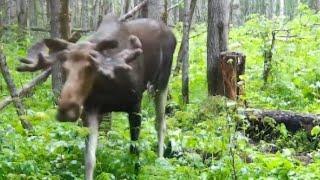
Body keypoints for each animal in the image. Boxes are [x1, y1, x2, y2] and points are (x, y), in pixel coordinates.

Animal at [17, 14, 176, 179]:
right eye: (64, 68)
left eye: (91, 66)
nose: (66, 110)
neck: (108, 84)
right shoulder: (90, 110)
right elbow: (89, 160)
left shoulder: (135, 104)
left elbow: (134, 149)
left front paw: (136, 172)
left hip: (162, 83)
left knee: (160, 123)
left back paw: (160, 160)